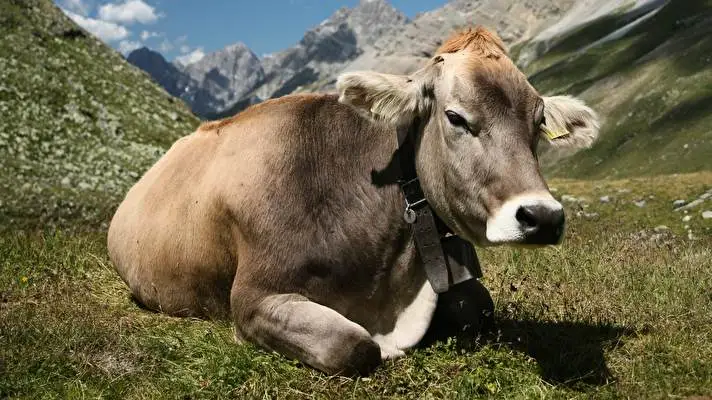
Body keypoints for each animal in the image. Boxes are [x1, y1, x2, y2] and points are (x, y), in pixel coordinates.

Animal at [107, 26, 599, 376]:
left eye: (538, 123)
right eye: (456, 117)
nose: (542, 217)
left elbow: (478, 308)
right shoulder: (253, 298)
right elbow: (354, 346)